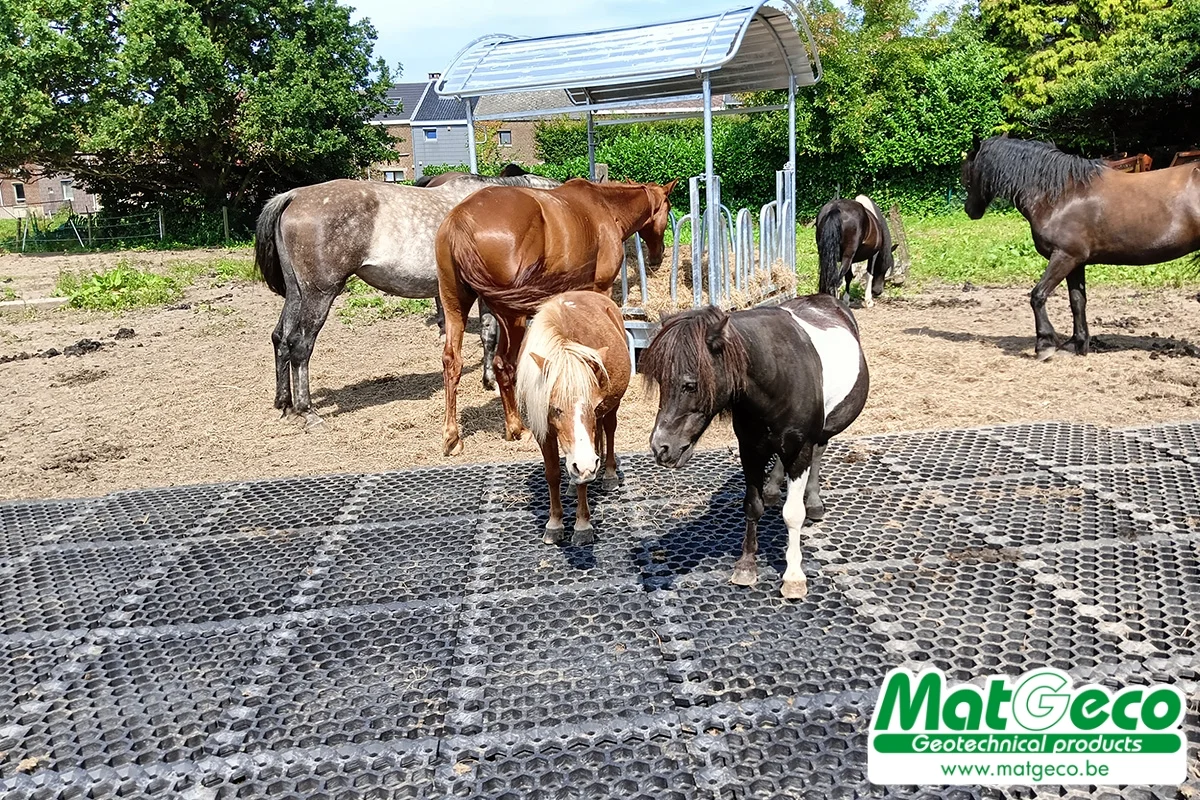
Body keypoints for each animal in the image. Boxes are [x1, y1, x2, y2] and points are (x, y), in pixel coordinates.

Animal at [254, 172, 560, 427]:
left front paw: (489, 380)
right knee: (299, 345)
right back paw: (306, 412)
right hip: (319, 294)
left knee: (281, 338)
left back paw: (285, 405)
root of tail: (294, 195)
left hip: (297, 293)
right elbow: (493, 334)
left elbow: (487, 333)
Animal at [436, 177, 677, 456]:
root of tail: (460, 219)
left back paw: (452, 437)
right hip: (512, 317)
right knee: (503, 364)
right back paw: (517, 427)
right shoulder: (600, 288)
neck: (604, 207)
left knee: (453, 362)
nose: (658, 256)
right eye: (668, 208)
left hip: (455, 307)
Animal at [516, 291, 630, 545]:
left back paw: (608, 475)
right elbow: (553, 474)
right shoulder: (543, 432)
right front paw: (554, 523)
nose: (587, 464)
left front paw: (582, 526)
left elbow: (583, 480)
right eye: (555, 408)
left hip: (613, 409)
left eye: (594, 406)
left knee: (609, 431)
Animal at [641, 294, 869, 600]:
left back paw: (814, 501)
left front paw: (793, 576)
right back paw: (773, 488)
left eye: (691, 384)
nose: (661, 447)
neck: (779, 375)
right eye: (661, 381)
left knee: (818, 453)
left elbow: (793, 514)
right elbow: (752, 505)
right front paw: (746, 566)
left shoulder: (800, 449)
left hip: (820, 433)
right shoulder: (749, 448)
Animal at [962, 134, 1200, 360]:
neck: (1062, 195)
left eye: (967, 172)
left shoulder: (1064, 257)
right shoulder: (1076, 262)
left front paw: (1045, 344)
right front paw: (1076, 344)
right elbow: (1077, 301)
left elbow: (1038, 295)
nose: (969, 211)